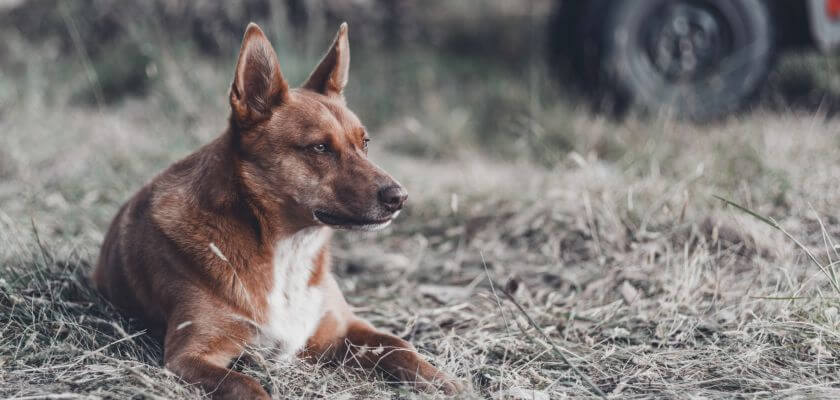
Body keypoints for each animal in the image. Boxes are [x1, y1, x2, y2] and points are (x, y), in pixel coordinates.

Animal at [93, 22, 460, 400]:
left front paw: (445, 381)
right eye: (319, 148)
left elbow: (401, 347)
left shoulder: (345, 327)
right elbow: (246, 385)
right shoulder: (188, 356)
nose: (399, 197)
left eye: (365, 143)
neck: (288, 251)